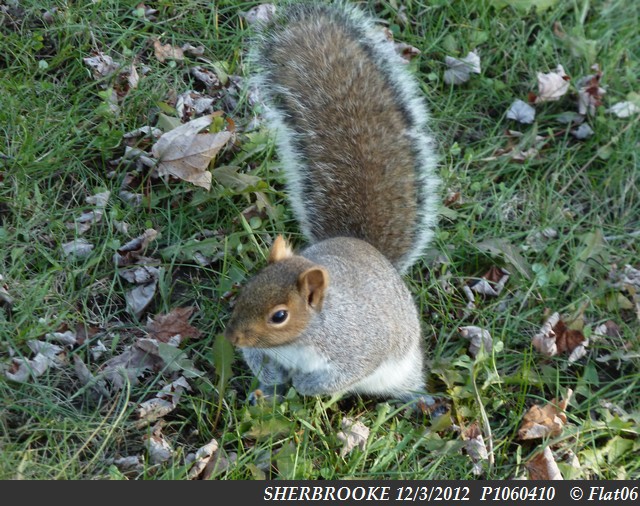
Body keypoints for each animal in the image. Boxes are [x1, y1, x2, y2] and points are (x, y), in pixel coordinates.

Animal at [225, 0, 440, 404]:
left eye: (280, 316)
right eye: (248, 288)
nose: (232, 337)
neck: (297, 343)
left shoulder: (357, 346)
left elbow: (347, 372)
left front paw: (306, 386)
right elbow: (261, 360)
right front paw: (272, 379)